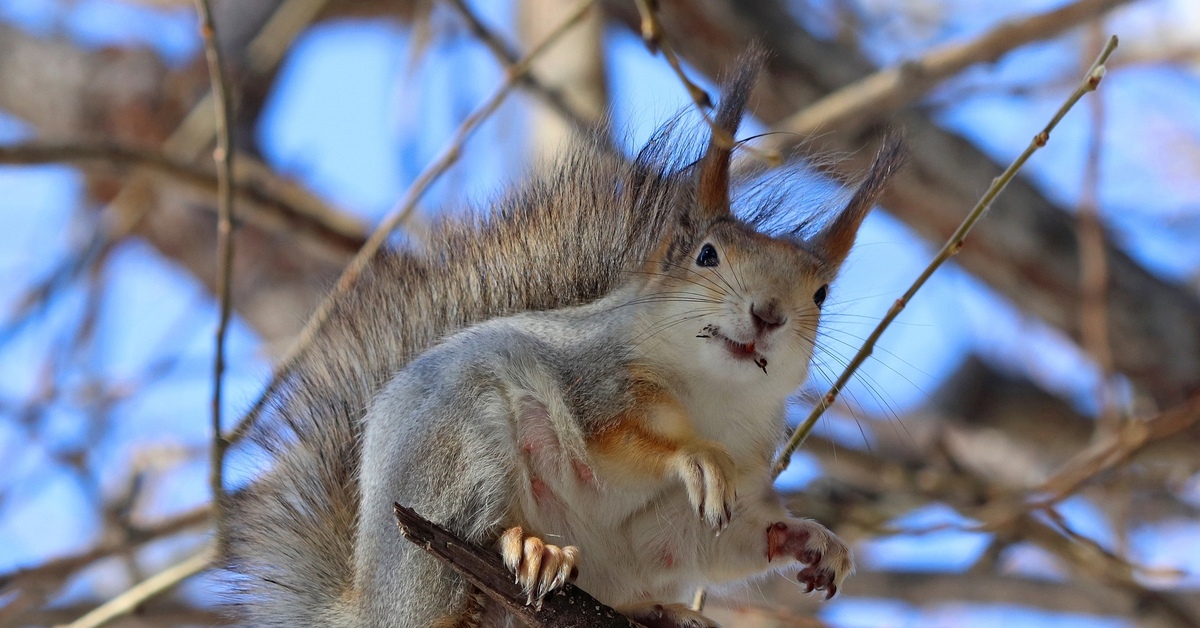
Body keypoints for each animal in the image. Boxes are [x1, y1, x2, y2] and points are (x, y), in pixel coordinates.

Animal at [223, 50, 902, 628]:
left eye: (821, 294)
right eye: (706, 255)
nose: (768, 313)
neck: (715, 397)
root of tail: (372, 603)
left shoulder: (737, 481)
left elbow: (737, 539)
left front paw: (812, 540)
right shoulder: (594, 381)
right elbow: (623, 438)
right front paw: (693, 458)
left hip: (644, 549)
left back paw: (666, 612)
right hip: (461, 452)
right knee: (474, 540)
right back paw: (530, 547)